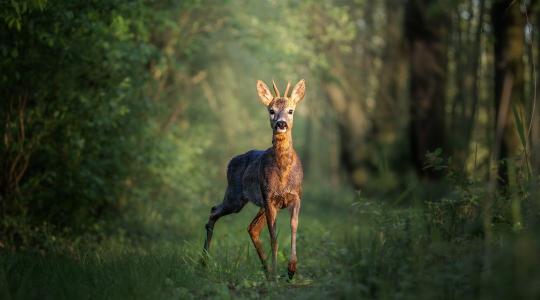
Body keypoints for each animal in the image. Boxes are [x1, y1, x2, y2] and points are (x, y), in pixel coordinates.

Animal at [202, 78, 306, 278]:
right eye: (271, 110)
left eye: (291, 110)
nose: (281, 124)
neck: (283, 172)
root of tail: (231, 162)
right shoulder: (269, 198)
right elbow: (274, 237)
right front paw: (278, 273)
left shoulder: (296, 196)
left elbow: (294, 227)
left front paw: (291, 269)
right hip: (235, 196)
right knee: (214, 211)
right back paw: (202, 263)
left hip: (255, 203)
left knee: (252, 228)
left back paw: (266, 271)